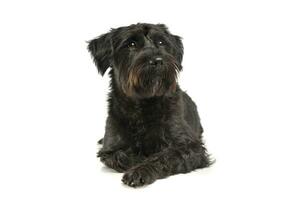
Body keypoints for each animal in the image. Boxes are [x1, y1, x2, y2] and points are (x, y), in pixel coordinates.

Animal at [88, 23, 211, 188]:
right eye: (131, 44)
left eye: (161, 42)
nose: (157, 60)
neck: (144, 102)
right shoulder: (110, 149)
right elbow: (119, 155)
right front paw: (139, 160)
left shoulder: (191, 147)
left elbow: (164, 156)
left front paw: (141, 170)